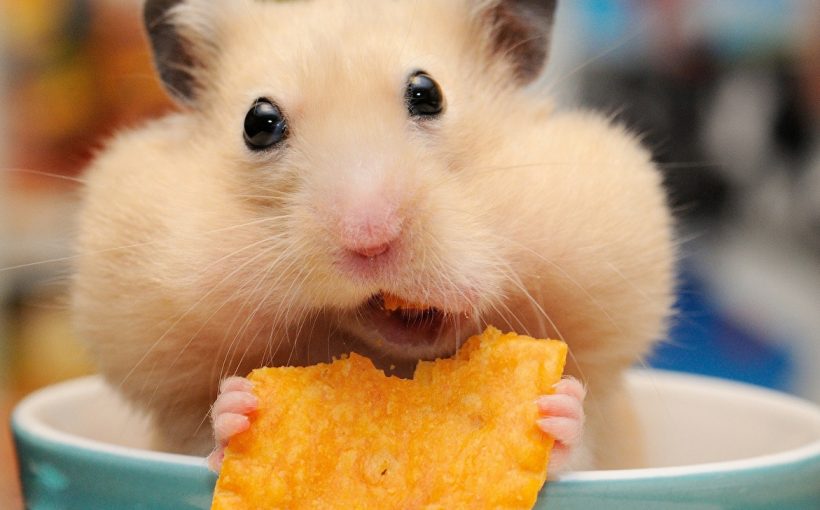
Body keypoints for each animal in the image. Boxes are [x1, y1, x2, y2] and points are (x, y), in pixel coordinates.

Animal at [72, 0, 675, 473]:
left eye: (427, 93)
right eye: (258, 123)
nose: (369, 237)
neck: (399, 363)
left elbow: (581, 446)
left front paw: (554, 410)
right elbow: (200, 438)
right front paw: (238, 412)